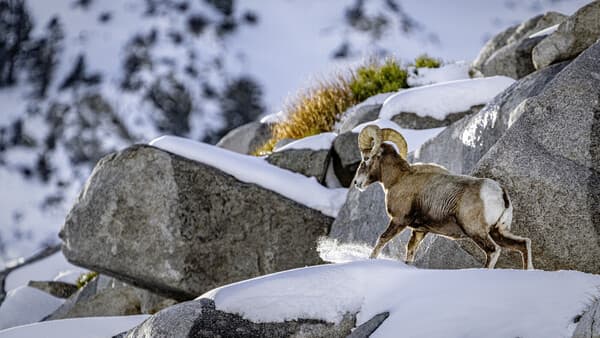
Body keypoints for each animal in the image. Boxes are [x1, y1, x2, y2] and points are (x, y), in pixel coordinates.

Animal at [354, 124, 532, 270]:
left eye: (366, 159)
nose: (356, 183)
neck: (398, 179)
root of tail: (501, 193)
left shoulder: (399, 220)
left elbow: (382, 240)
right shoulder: (419, 230)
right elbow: (410, 251)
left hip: (476, 231)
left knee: (493, 251)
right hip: (498, 231)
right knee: (524, 243)